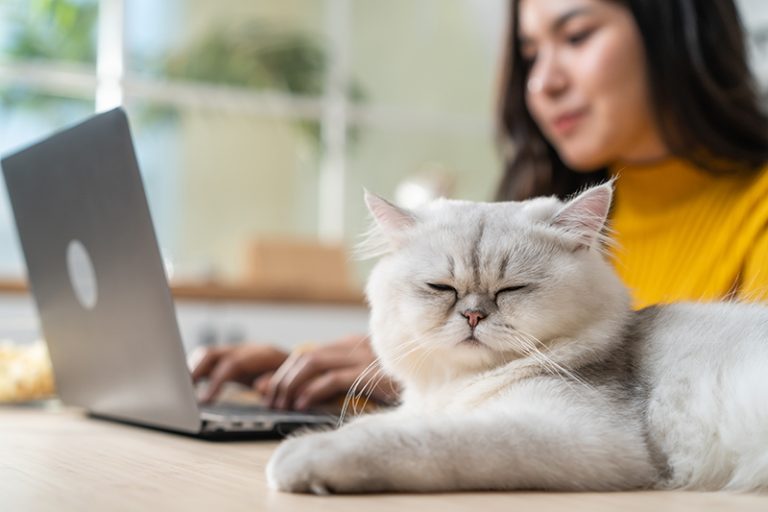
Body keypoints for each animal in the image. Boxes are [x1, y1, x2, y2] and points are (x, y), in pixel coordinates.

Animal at [266, 182, 768, 494]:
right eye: (441, 288)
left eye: (512, 290)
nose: (472, 315)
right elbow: (380, 423)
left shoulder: (582, 436)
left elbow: (416, 440)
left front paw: (301, 455)